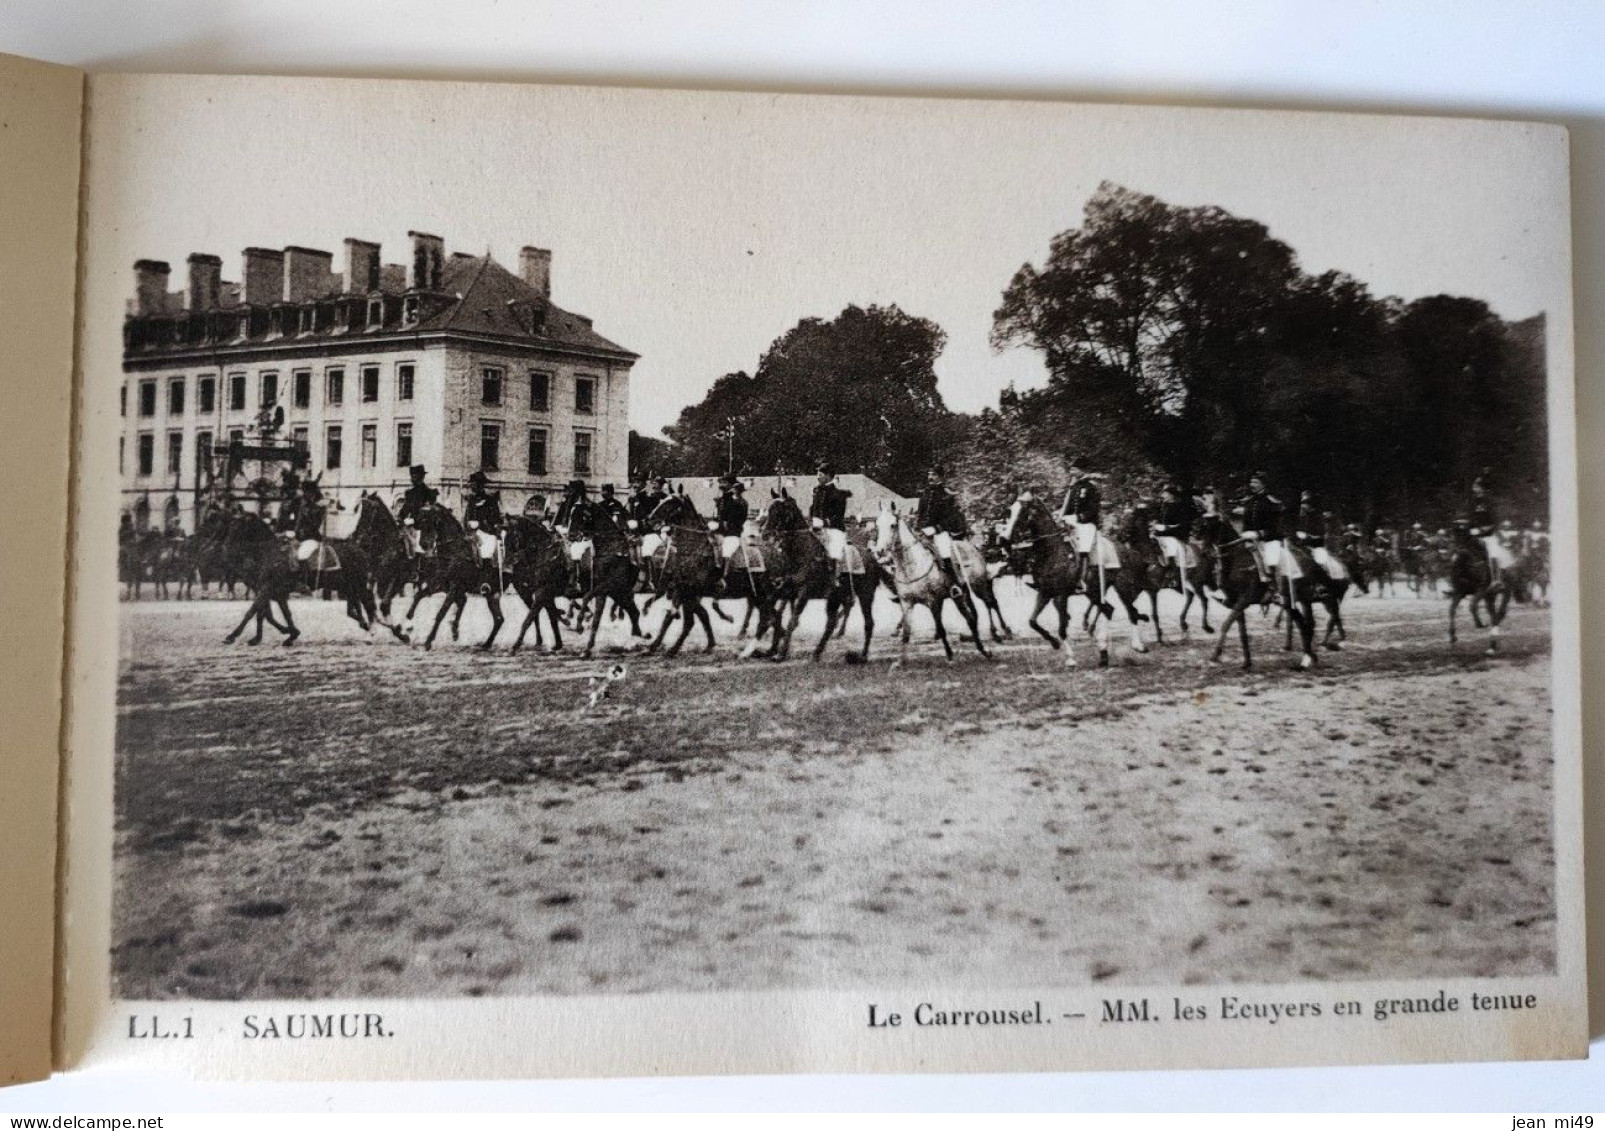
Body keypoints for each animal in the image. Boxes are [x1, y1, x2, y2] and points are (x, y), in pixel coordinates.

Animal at [873, 510, 982, 667]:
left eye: (893, 525)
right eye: (877, 524)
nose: (880, 551)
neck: (911, 566)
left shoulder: (932, 602)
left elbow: (941, 629)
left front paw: (950, 657)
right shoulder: (906, 604)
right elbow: (906, 633)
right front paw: (901, 661)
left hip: (969, 591)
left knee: (973, 616)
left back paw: (985, 649)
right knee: (970, 617)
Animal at [1194, 513, 1316, 670]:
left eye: (1210, 521)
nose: (1194, 528)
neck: (1237, 560)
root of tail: (1307, 557)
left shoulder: (1244, 600)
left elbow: (1226, 624)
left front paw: (1215, 655)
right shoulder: (1237, 603)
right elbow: (1242, 631)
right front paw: (1247, 662)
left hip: (1300, 599)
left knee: (1306, 623)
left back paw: (1308, 658)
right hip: (1289, 602)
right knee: (1301, 622)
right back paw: (1307, 658)